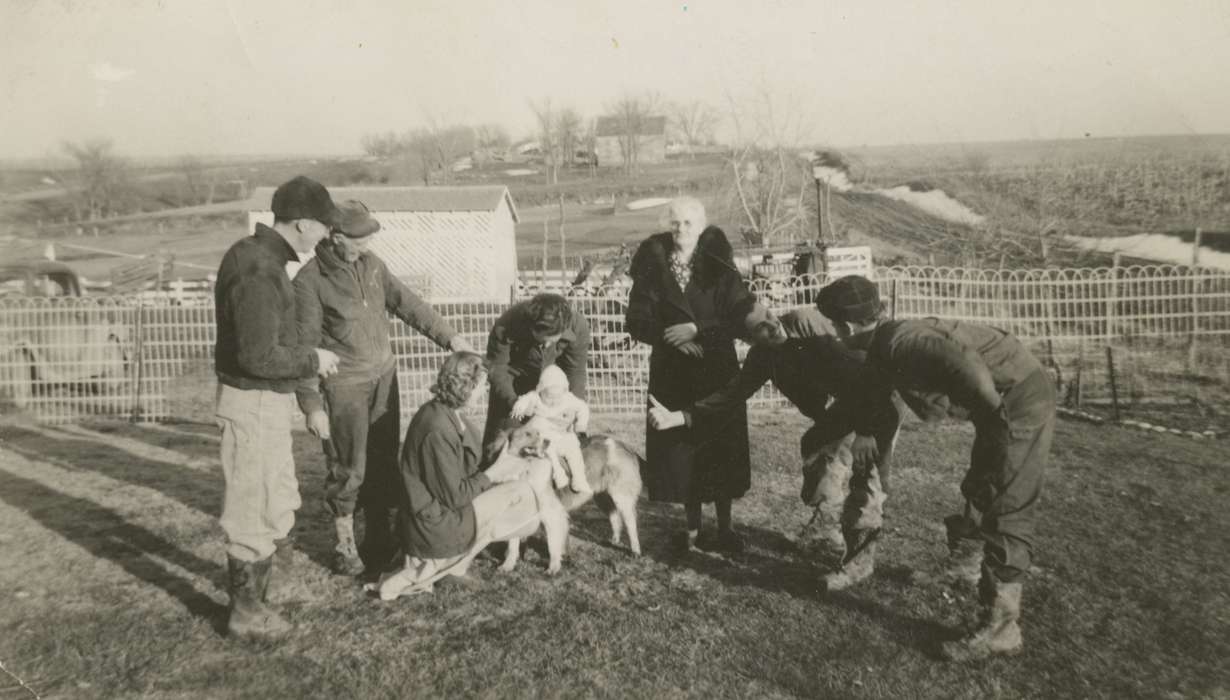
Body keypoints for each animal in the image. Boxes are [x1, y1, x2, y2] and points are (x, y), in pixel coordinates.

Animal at [487, 420, 649, 573]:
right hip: (602, 497)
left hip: (622, 497)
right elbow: (513, 544)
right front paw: (507, 565)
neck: (525, 468)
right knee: (615, 517)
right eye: (527, 434)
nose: (547, 442)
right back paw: (614, 540)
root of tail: (626, 446)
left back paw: (635, 551)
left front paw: (553, 568)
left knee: (631, 524)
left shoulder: (552, 513)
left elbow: (553, 544)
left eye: (538, 434)